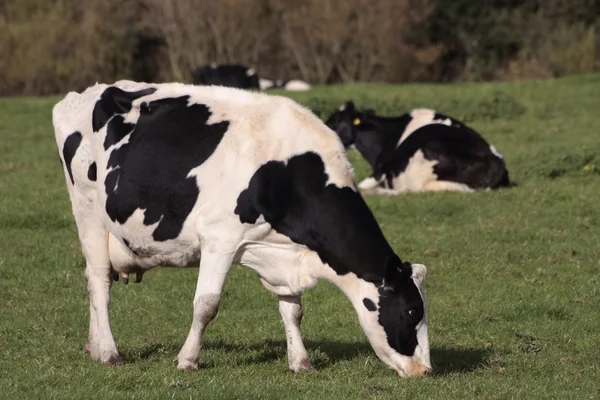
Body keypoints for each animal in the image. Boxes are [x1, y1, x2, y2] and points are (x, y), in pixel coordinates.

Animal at [52, 82, 432, 378]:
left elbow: (293, 310)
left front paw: (300, 362)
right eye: (413, 311)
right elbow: (206, 305)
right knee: (99, 281)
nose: (426, 371)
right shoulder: (220, 239)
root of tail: (85, 93)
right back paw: (108, 352)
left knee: (94, 278)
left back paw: (92, 345)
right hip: (87, 209)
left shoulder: (282, 252)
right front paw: (187, 360)